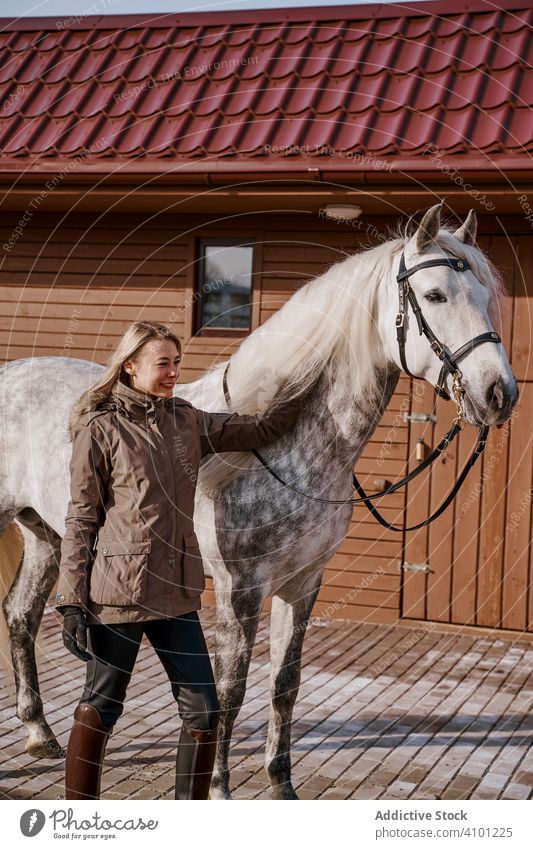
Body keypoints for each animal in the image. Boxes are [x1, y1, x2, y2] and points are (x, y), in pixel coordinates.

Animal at [0, 204, 516, 796]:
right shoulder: (240, 590)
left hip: (48, 535)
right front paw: (220, 787)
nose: (500, 393)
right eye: (434, 295)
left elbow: (284, 684)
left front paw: (280, 782)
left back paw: (39, 733)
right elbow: (231, 692)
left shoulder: (303, 584)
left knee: (21, 614)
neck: (283, 448)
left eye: (484, 294)